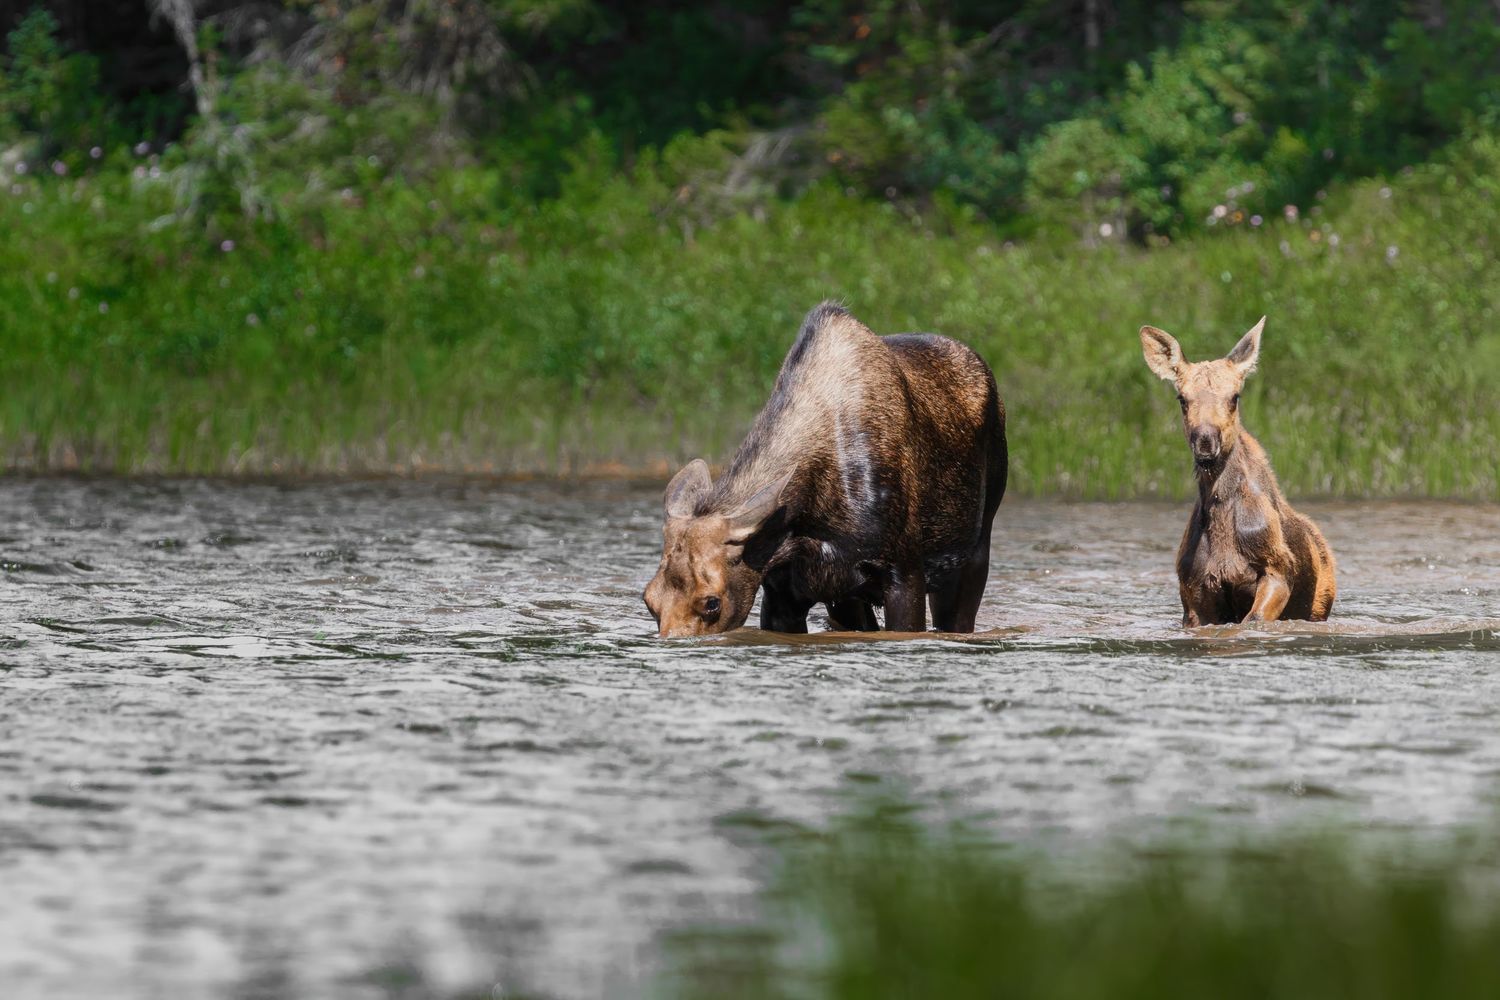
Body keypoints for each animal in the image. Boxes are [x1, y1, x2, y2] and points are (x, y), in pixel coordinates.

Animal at [1140, 317, 1336, 626]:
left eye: (1235, 396)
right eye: (1182, 399)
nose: (1206, 441)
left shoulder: (1278, 569)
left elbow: (1253, 620)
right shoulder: (1193, 591)